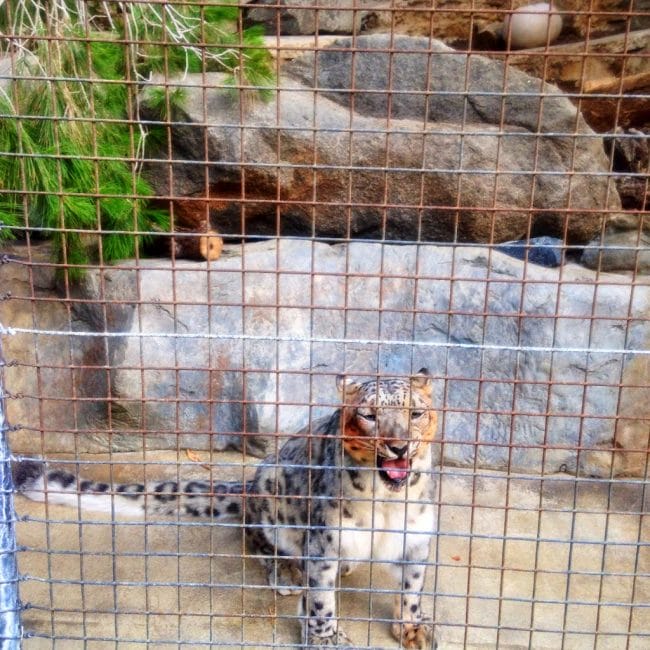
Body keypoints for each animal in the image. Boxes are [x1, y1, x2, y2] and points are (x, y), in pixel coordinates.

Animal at [14, 369, 439, 649]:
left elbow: (412, 588)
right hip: (272, 497)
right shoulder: (324, 542)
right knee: (259, 539)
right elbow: (320, 603)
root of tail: (250, 485)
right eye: (369, 415)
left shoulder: (417, 538)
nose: (399, 446)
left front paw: (414, 629)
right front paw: (326, 639)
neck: (387, 502)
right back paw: (286, 572)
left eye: (415, 413)